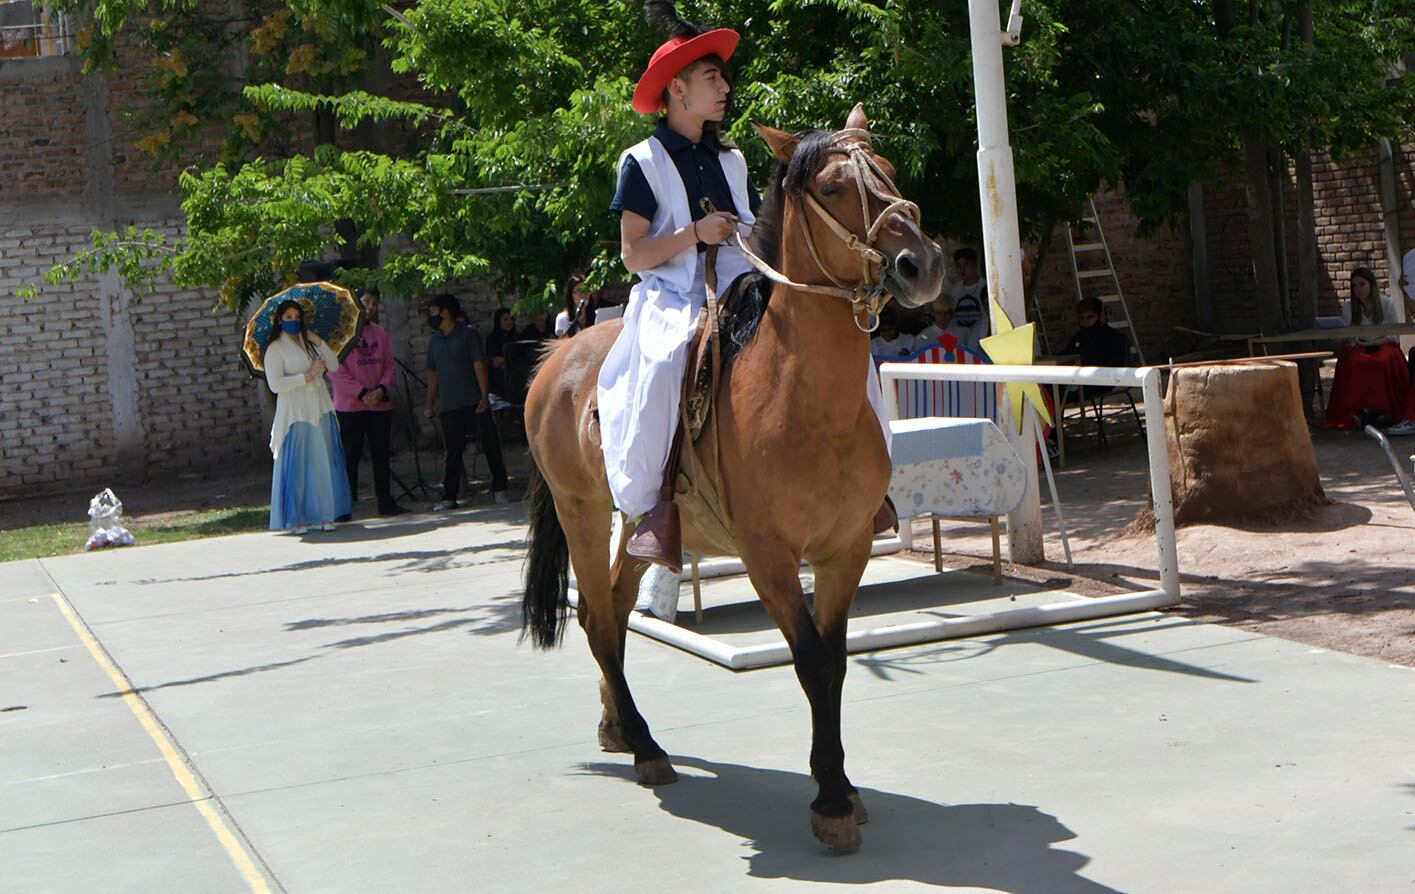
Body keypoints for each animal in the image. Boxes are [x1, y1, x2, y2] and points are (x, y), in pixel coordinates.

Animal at [520, 104, 939, 854]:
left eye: (888, 172)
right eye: (832, 187)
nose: (920, 263)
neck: (803, 397)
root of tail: (556, 356)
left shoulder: (846, 549)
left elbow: (834, 659)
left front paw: (841, 783)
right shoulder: (768, 555)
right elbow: (811, 660)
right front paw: (831, 800)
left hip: (640, 522)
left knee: (616, 611)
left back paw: (618, 725)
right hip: (581, 511)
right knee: (596, 616)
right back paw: (645, 745)